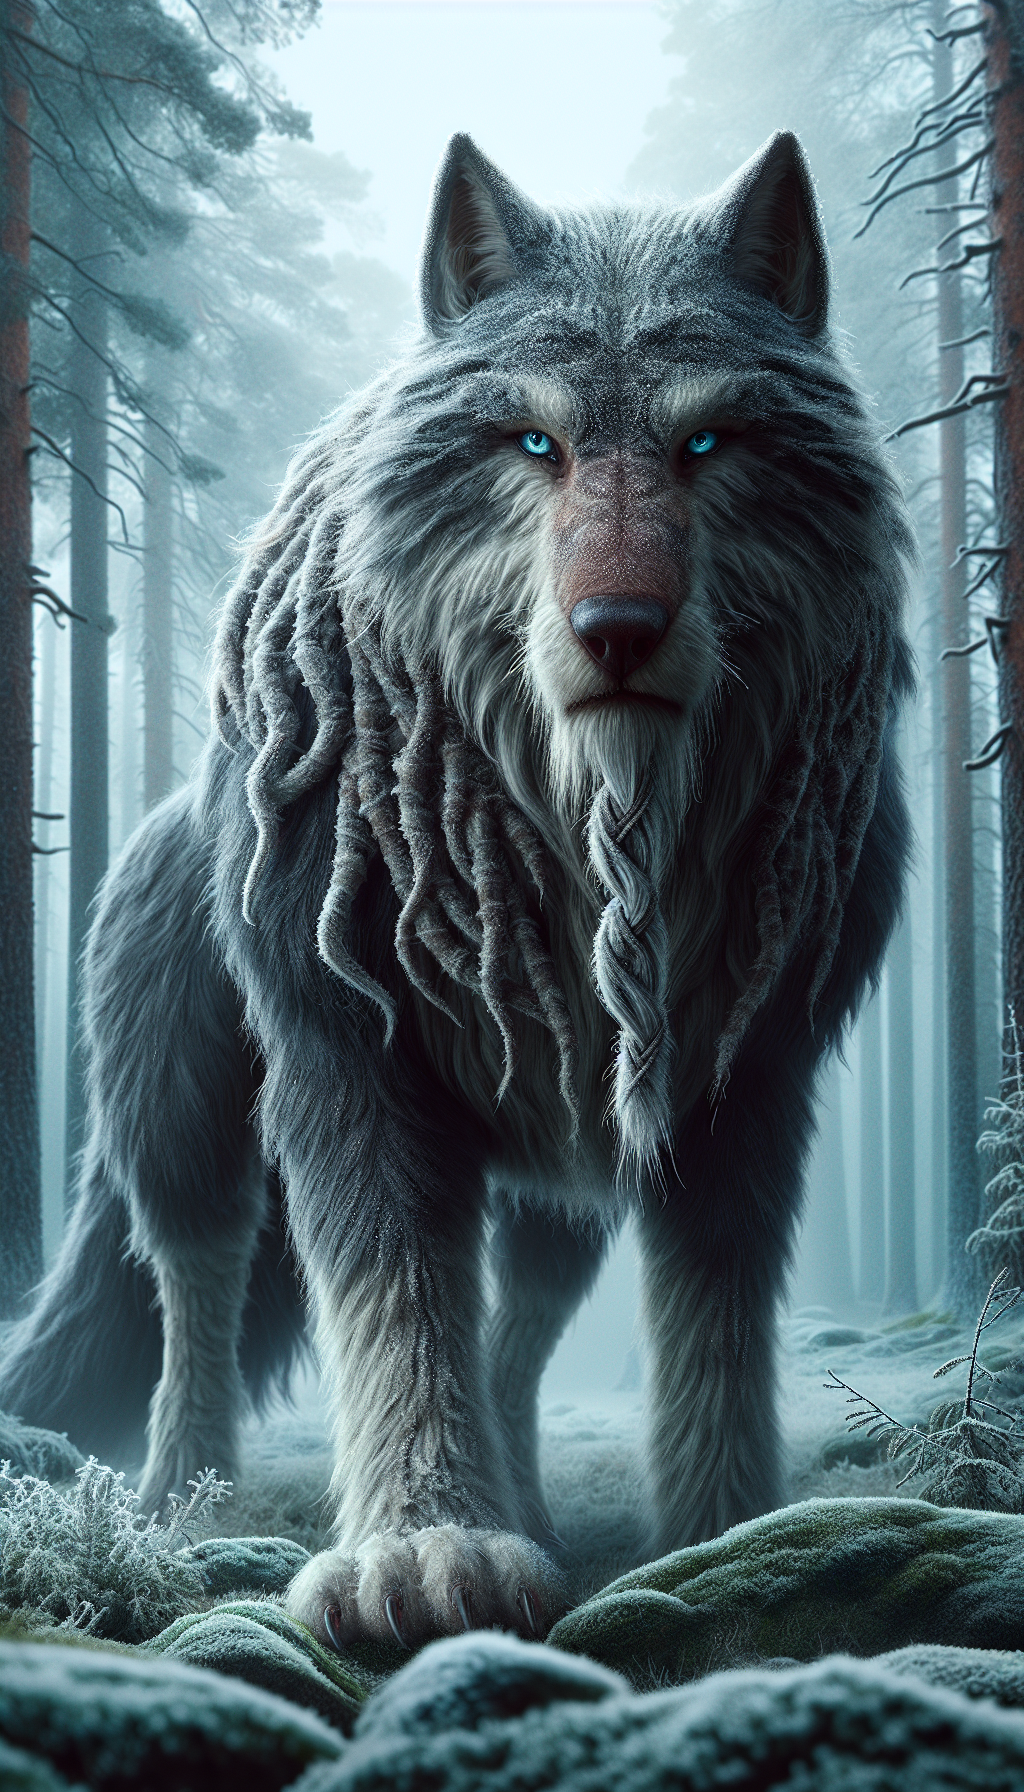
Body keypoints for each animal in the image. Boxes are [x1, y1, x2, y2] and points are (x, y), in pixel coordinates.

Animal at [2, 130, 911, 1649]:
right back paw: (179, 1507)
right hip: (182, 1129)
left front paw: (731, 1535)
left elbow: (711, 1321)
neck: (590, 841)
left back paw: (530, 1503)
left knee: (519, 1331)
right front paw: (422, 1551)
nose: (619, 630)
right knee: (194, 1294)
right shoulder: (354, 1059)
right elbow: (395, 1301)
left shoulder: (740, 1081)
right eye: (533, 442)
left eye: (705, 442)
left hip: (560, 1182)